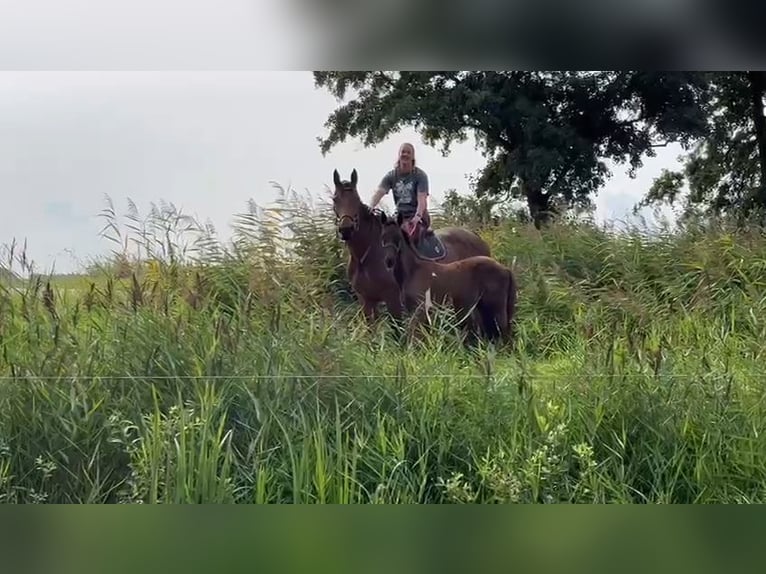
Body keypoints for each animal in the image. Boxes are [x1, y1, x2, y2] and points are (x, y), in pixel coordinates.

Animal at [332, 170, 492, 324]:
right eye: (335, 199)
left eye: (356, 199)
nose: (346, 229)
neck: (365, 257)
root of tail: (477, 237)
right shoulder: (366, 301)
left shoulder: (393, 300)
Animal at [380, 215, 520, 342]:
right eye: (383, 237)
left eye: (398, 237)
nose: (389, 261)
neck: (414, 270)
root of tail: (505, 269)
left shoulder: (420, 310)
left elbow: (415, 336)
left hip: (497, 309)